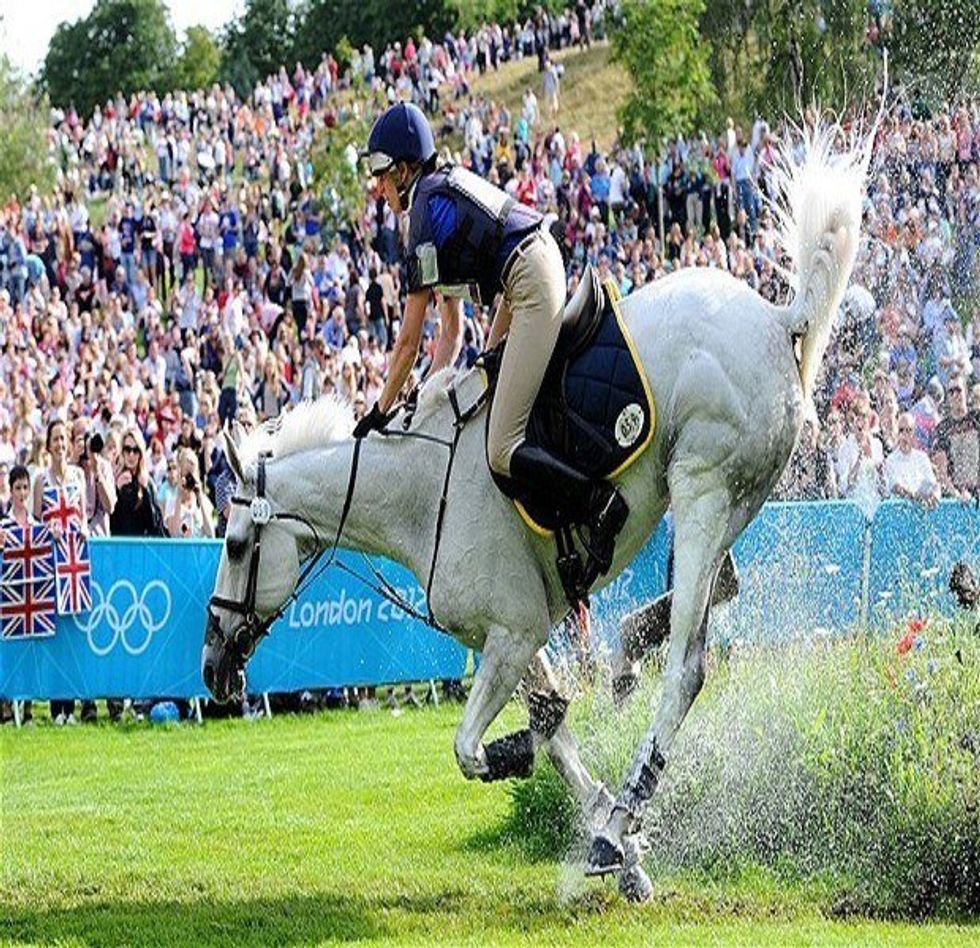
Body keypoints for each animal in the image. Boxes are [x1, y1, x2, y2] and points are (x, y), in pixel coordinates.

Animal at [203, 122, 868, 900]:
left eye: (238, 546)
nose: (213, 669)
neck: (421, 494)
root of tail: (775, 315)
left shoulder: (514, 633)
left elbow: (477, 747)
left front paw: (584, 808)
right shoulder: (514, 635)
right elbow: (555, 730)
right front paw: (627, 850)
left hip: (702, 488)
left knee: (687, 668)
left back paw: (621, 807)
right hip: (722, 497)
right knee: (719, 589)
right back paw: (624, 666)